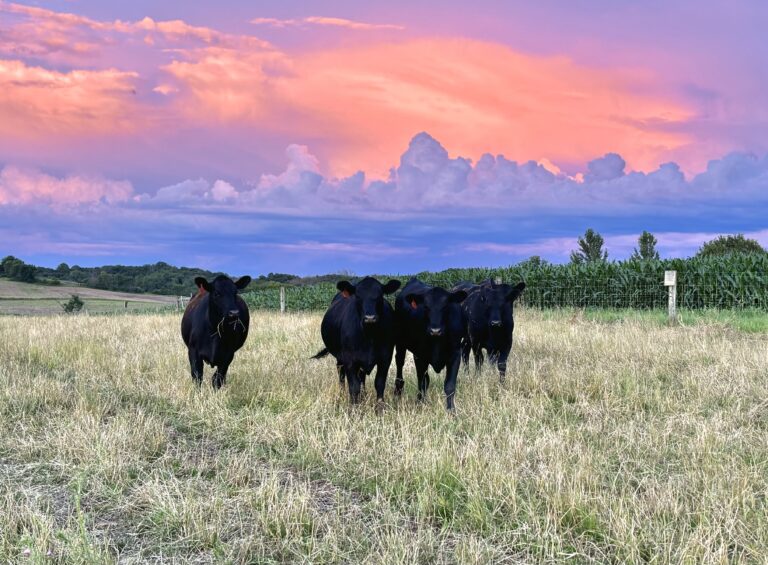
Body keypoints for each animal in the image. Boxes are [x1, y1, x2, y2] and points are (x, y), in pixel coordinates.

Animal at [312, 277, 401, 408]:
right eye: (358, 296)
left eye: (380, 295)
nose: (370, 318)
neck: (369, 335)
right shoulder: (350, 360)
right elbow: (354, 387)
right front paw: (354, 408)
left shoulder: (385, 358)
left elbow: (379, 383)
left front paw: (380, 408)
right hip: (340, 358)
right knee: (341, 373)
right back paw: (342, 395)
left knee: (362, 377)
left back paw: (363, 397)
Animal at [394, 278, 467, 411]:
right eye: (426, 307)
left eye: (445, 306)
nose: (435, 330)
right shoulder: (419, 356)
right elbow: (422, 382)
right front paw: (420, 404)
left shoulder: (455, 354)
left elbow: (449, 385)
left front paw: (451, 410)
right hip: (400, 343)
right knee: (399, 364)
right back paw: (398, 391)